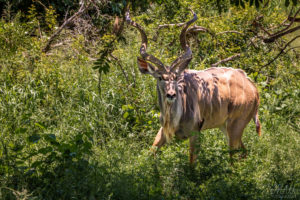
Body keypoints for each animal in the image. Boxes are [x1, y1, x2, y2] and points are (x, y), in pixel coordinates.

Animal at [125, 10, 262, 164]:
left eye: (176, 77)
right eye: (160, 77)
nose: (171, 95)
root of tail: (253, 87)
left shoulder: (195, 132)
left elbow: (191, 162)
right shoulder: (163, 131)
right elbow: (151, 152)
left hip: (235, 127)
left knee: (235, 156)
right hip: (225, 127)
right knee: (244, 151)